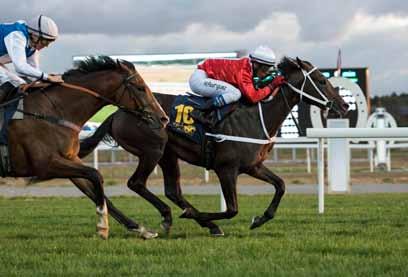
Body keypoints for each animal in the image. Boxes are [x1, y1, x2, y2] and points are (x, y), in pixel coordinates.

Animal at [5, 55, 168, 237]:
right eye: (140, 88)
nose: (163, 118)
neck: (50, 112)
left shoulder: (68, 159)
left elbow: (95, 189)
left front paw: (140, 228)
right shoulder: (45, 165)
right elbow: (96, 175)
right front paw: (102, 225)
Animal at [79, 56, 348, 235]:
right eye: (321, 80)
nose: (344, 106)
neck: (257, 116)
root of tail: (117, 113)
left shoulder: (253, 166)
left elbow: (280, 186)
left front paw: (259, 219)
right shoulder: (226, 168)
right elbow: (232, 209)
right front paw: (199, 215)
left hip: (168, 154)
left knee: (173, 191)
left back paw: (202, 223)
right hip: (152, 150)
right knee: (136, 183)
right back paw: (174, 218)